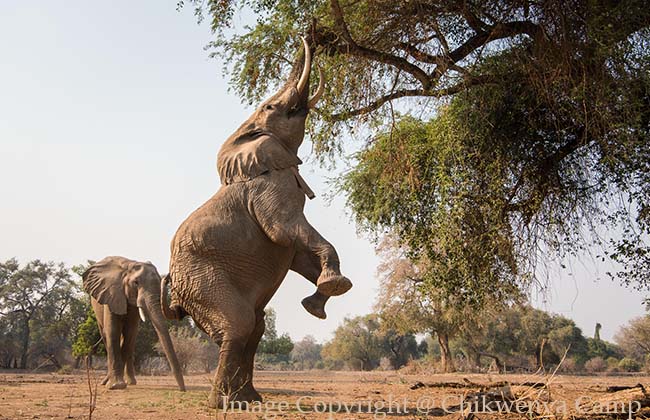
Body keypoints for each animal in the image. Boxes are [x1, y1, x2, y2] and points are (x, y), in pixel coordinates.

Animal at [82, 256, 185, 390]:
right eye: (136, 283)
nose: (183, 390)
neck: (129, 266)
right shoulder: (112, 294)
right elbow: (113, 332)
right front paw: (116, 385)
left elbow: (130, 333)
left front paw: (118, 384)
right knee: (105, 335)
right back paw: (106, 382)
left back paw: (130, 382)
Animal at [162, 37, 352, 406]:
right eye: (269, 106)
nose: (311, 36)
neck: (248, 135)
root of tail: (175, 295)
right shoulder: (268, 189)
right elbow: (286, 232)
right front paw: (333, 286)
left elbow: (297, 253)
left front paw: (318, 302)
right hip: (201, 280)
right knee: (238, 324)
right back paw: (221, 404)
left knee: (253, 328)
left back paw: (248, 399)